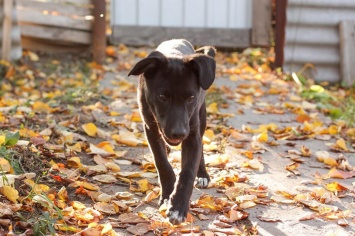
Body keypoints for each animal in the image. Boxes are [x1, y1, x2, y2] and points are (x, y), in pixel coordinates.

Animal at [129, 39, 217, 225]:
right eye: (162, 97)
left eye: (191, 98)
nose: (179, 133)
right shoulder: (150, 128)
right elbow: (162, 162)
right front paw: (167, 195)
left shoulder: (192, 133)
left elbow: (187, 171)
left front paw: (178, 207)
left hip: (202, 118)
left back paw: (202, 174)